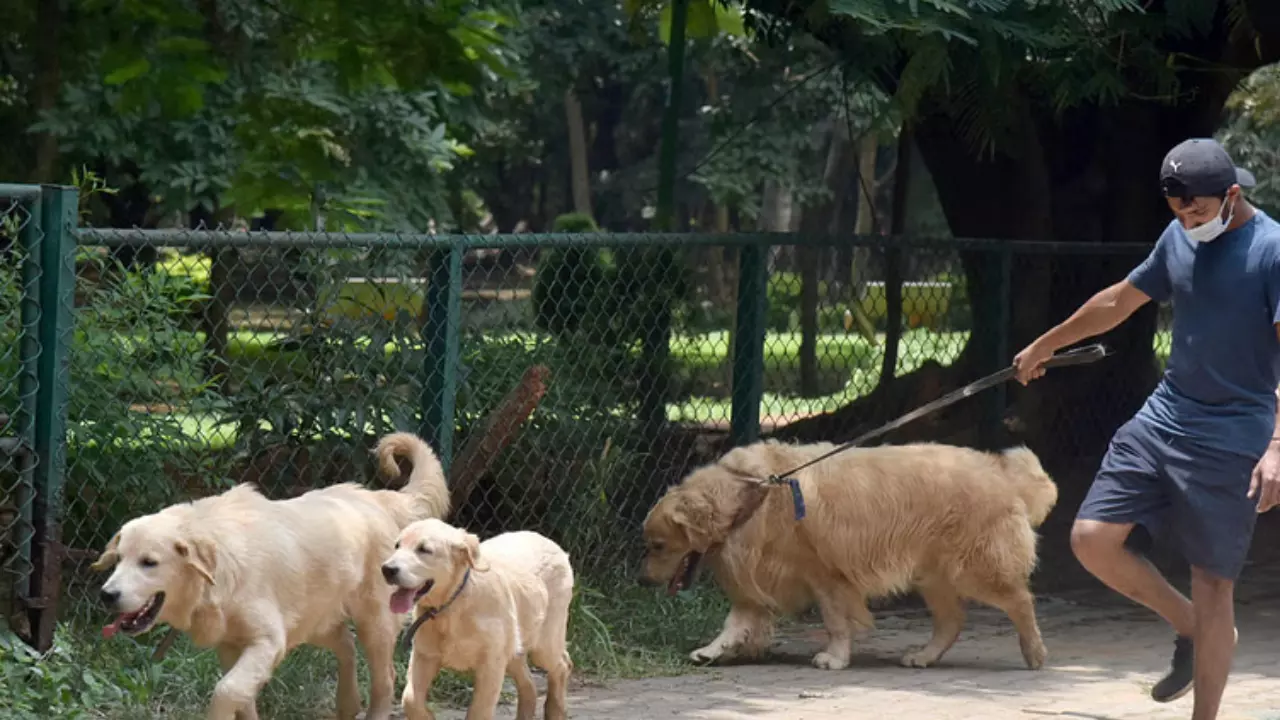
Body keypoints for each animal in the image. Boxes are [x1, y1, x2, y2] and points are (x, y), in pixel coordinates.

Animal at [91, 430, 450, 717]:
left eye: (149, 562)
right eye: (118, 559)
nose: (107, 595)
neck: (221, 570)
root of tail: (375, 497)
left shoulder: (267, 641)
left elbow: (225, 692)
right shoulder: (232, 647)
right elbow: (242, 701)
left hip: (374, 624)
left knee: (384, 679)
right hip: (312, 620)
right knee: (345, 645)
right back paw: (347, 704)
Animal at [381, 517, 573, 717]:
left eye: (424, 550)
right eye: (397, 545)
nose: (387, 569)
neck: (452, 604)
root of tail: (548, 541)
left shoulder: (491, 663)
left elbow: (479, 711)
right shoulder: (424, 655)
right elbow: (410, 699)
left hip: (544, 644)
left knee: (563, 664)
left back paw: (555, 711)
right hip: (514, 646)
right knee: (529, 681)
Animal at [640, 440, 1059, 671]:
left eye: (657, 545)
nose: (642, 581)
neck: (752, 495)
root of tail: (1002, 472)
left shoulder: (825, 575)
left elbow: (835, 622)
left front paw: (835, 657)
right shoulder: (762, 579)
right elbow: (735, 623)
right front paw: (711, 651)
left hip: (975, 569)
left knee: (1020, 600)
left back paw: (1035, 652)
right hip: (932, 575)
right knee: (952, 621)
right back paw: (924, 656)